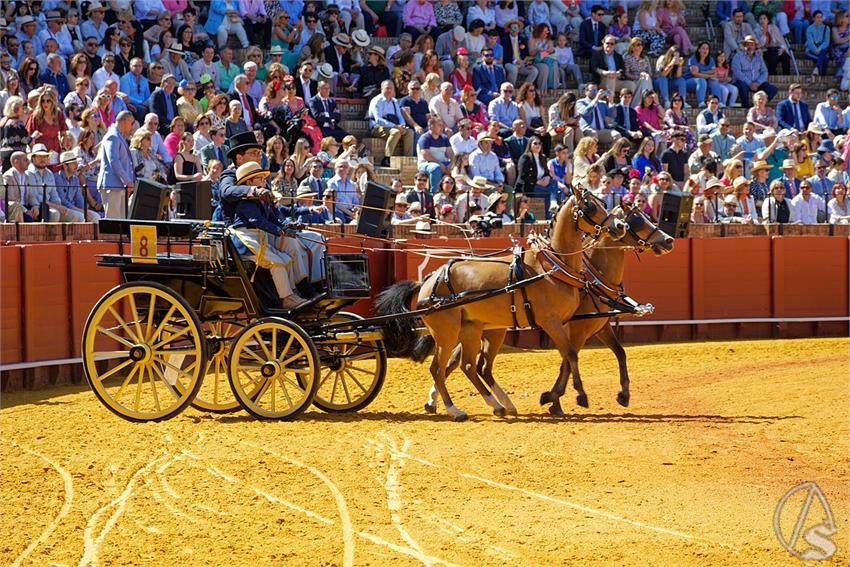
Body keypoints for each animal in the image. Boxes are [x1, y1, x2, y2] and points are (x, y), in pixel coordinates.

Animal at [374, 189, 628, 420]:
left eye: (603, 203)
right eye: (590, 206)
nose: (620, 225)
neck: (553, 266)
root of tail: (428, 280)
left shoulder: (567, 323)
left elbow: (567, 357)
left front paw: (553, 397)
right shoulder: (551, 321)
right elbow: (571, 354)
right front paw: (579, 395)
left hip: (474, 329)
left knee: (469, 366)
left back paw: (497, 404)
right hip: (448, 332)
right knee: (439, 368)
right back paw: (455, 410)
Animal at [440, 204, 672, 418]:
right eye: (636, 221)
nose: (669, 240)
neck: (591, 279)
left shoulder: (599, 326)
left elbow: (619, 353)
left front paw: (623, 395)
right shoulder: (575, 329)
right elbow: (567, 361)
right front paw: (553, 398)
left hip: (485, 328)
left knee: (461, 361)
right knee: (462, 362)